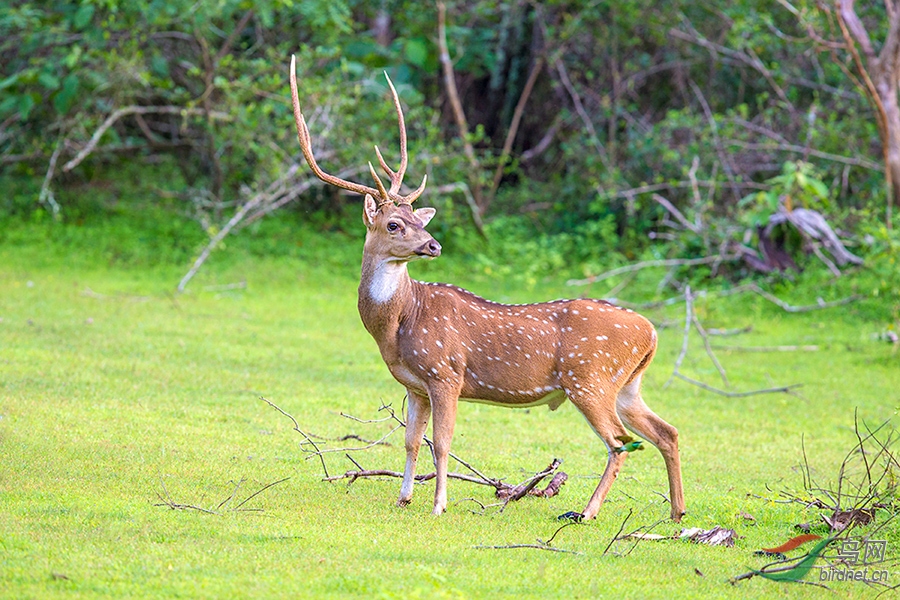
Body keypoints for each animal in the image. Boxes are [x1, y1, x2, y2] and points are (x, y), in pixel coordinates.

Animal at [292, 58, 684, 524]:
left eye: (418, 220)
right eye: (395, 223)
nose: (433, 245)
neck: (397, 325)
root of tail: (652, 332)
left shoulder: (446, 373)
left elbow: (442, 443)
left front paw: (439, 505)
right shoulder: (415, 385)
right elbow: (410, 440)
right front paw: (403, 498)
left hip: (589, 377)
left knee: (620, 441)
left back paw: (587, 512)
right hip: (626, 384)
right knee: (666, 431)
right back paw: (678, 513)